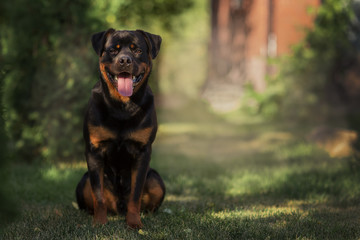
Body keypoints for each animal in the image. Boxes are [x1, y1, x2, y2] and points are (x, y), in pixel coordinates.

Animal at [76, 28, 167, 229]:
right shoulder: (94, 150)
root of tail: (118, 206)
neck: (122, 107)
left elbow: (136, 194)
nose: (125, 60)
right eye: (113, 50)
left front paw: (134, 223)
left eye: (137, 50)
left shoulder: (142, 152)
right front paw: (99, 223)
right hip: (83, 182)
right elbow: (98, 194)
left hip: (156, 179)